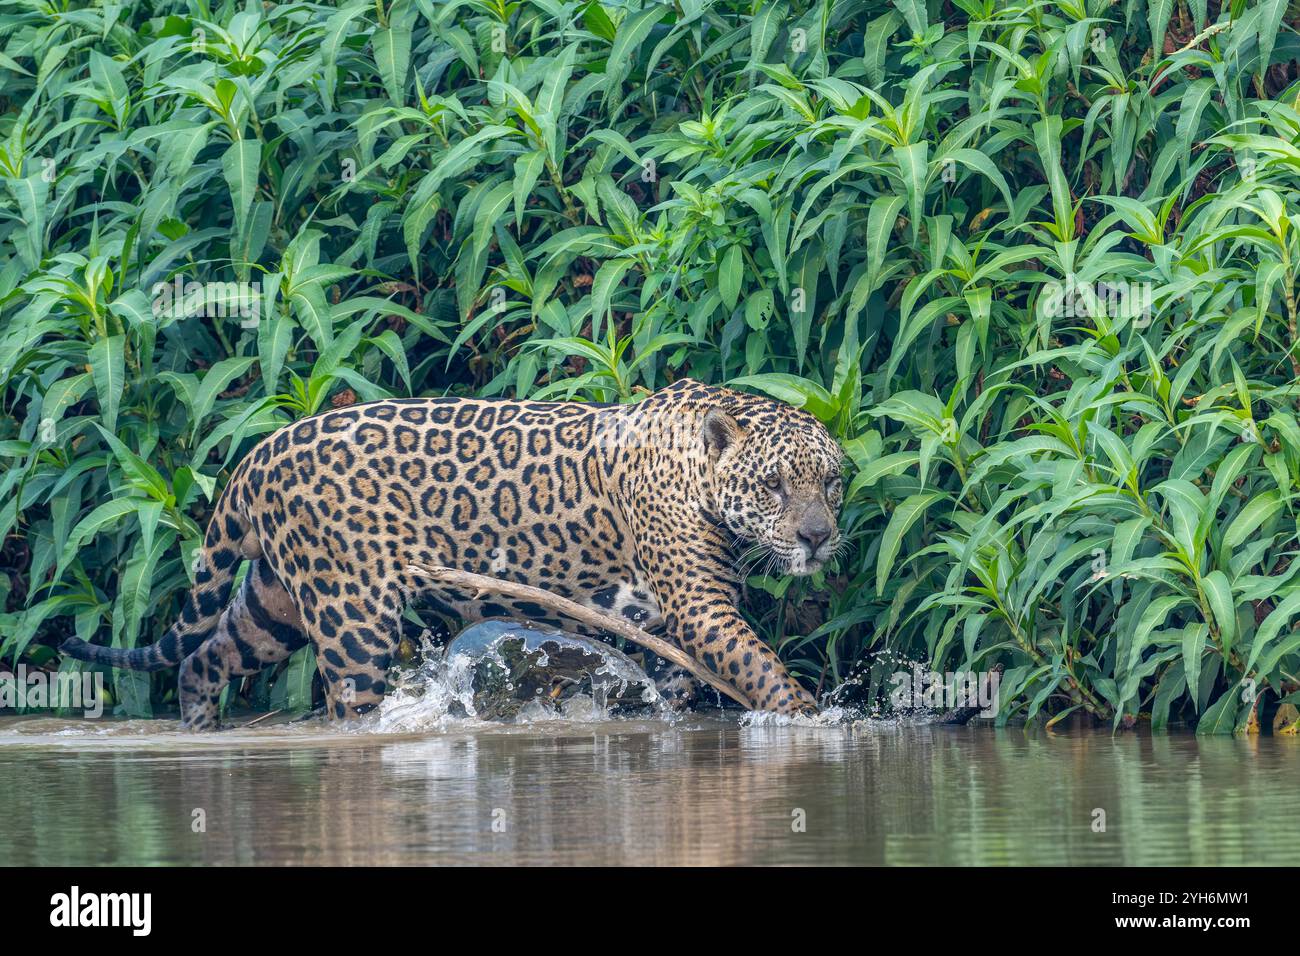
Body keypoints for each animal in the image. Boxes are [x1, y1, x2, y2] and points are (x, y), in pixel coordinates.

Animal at [61, 378, 844, 729]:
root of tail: (258, 452)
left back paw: (199, 728)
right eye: (773, 485)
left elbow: (682, 689)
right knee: (349, 704)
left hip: (276, 599)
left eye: (831, 482)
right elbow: (760, 665)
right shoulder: (700, 608)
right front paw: (810, 720)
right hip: (353, 617)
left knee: (205, 654)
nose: (818, 536)